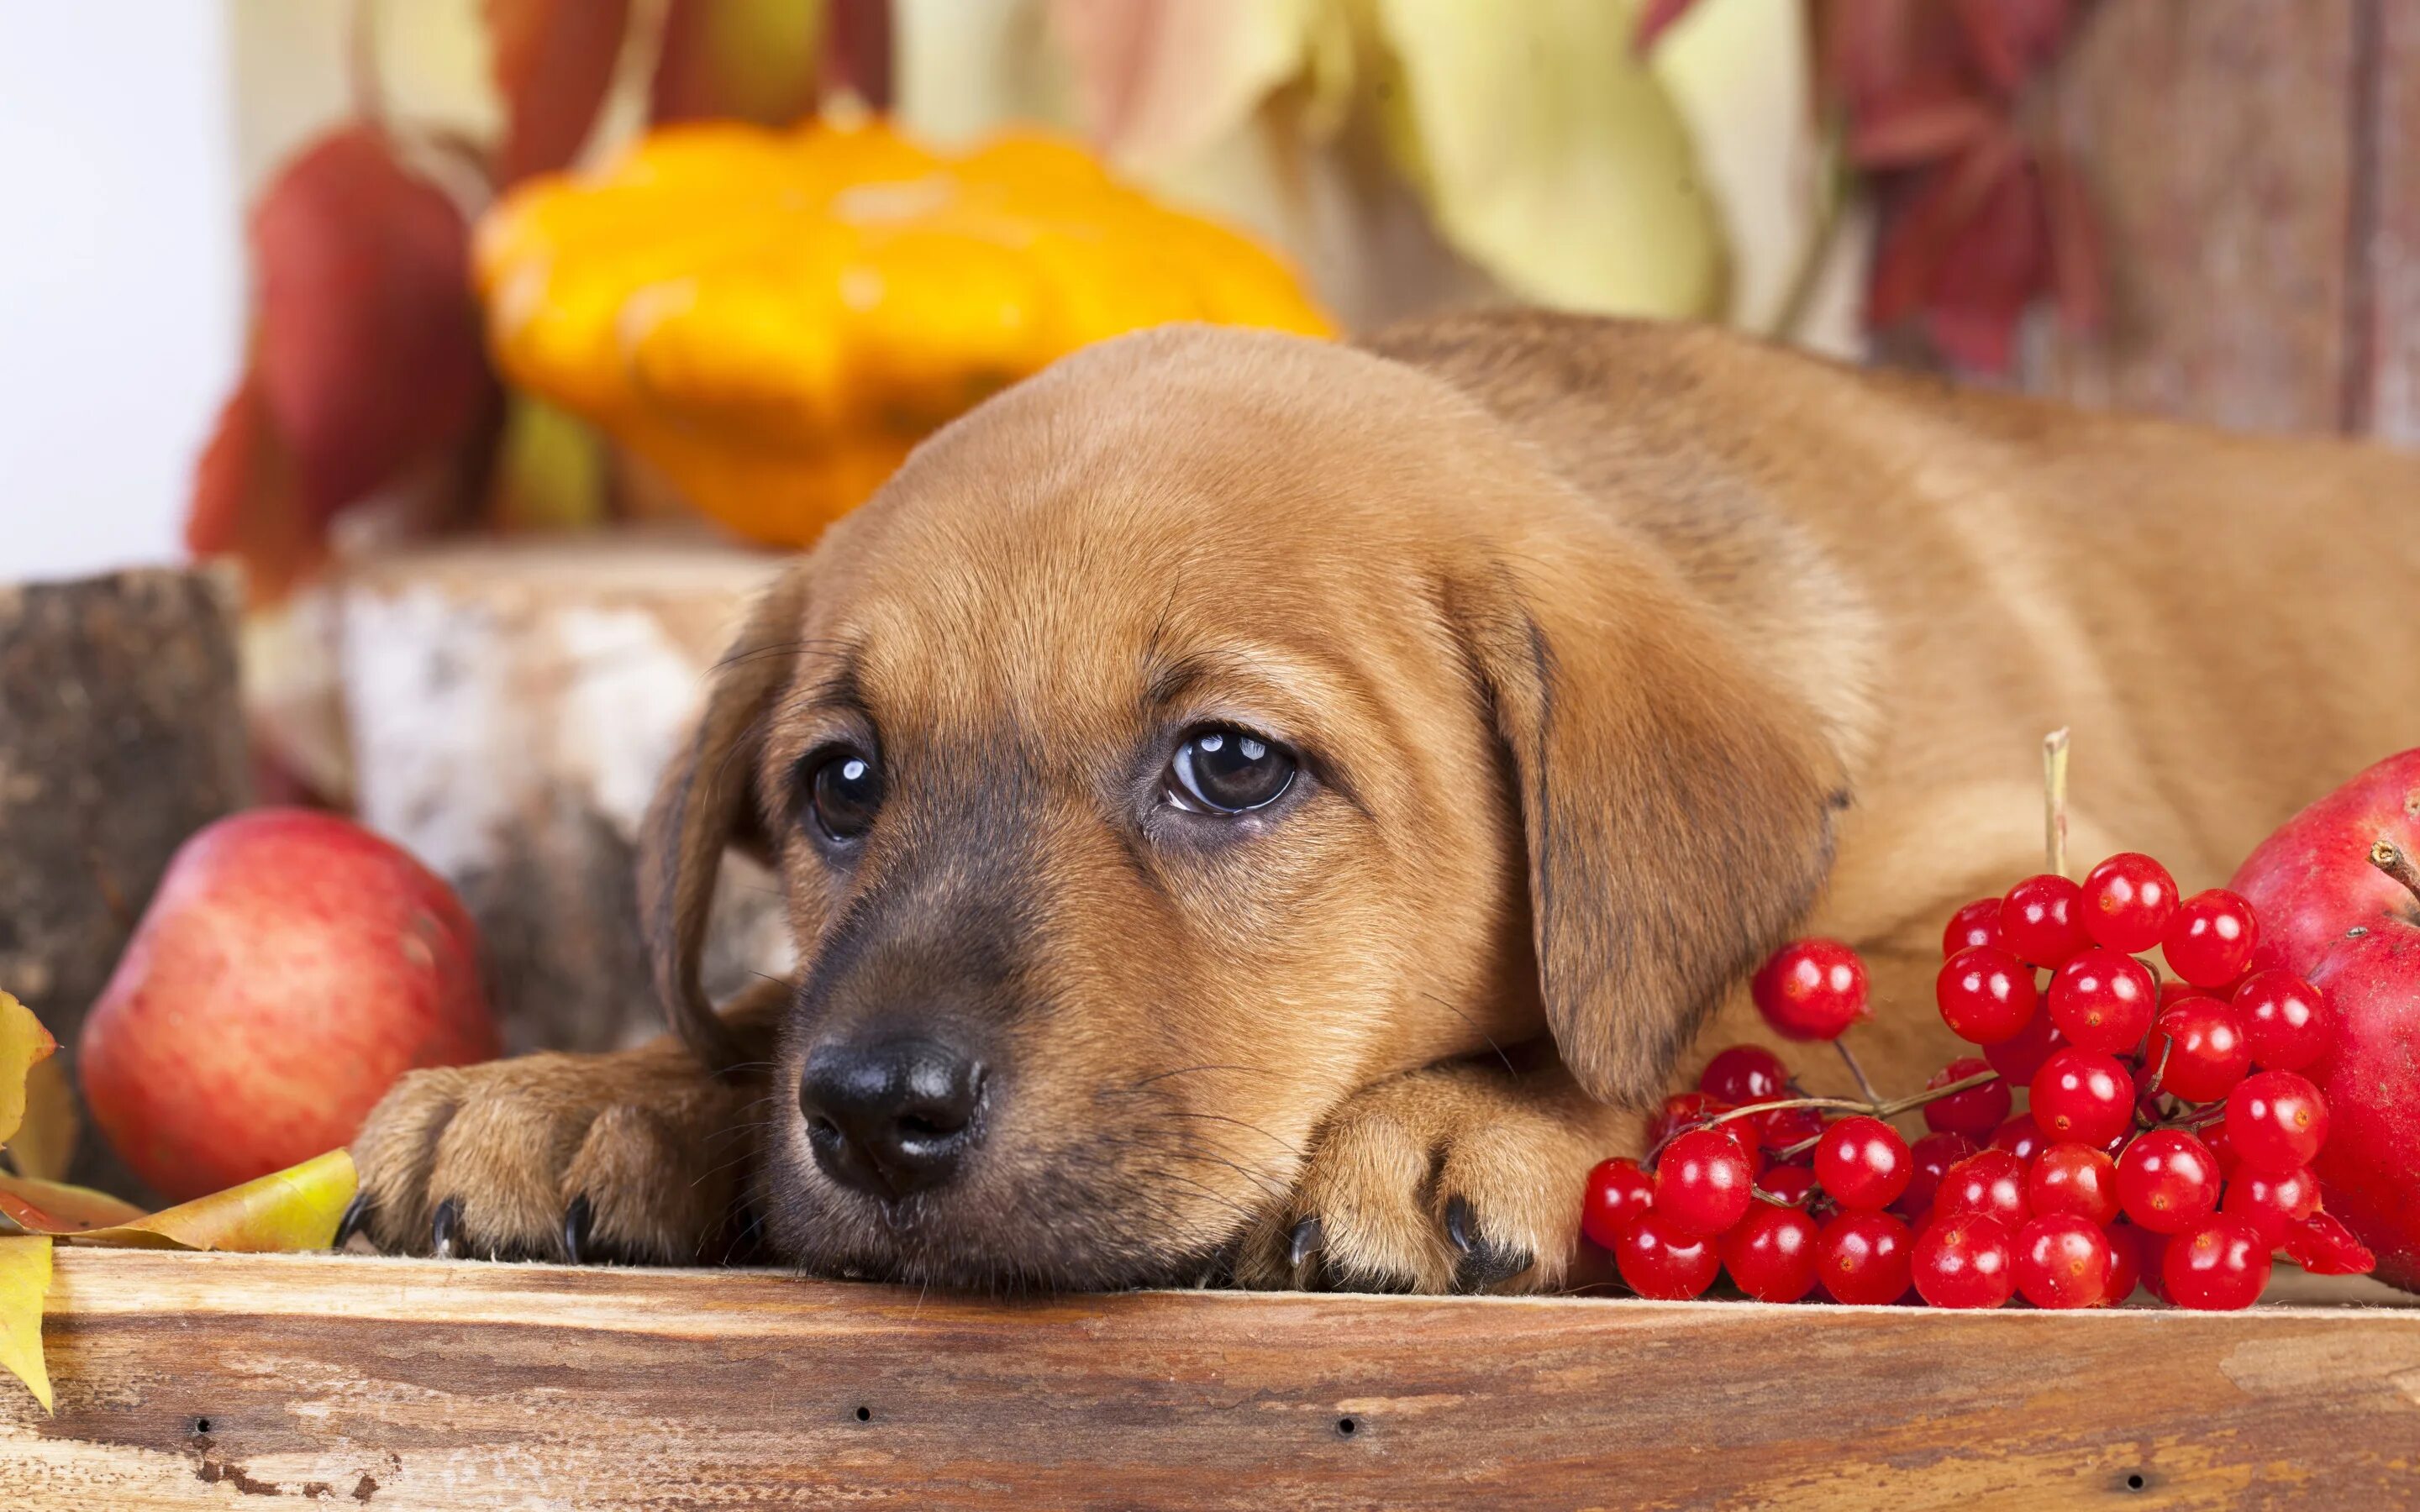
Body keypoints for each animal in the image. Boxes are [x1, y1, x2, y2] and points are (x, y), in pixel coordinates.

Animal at [350, 312, 2420, 1287]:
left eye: (1230, 766)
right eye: (840, 785)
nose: (870, 1116)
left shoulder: (2044, 901)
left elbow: (1750, 999)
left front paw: (1474, 1120)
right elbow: (767, 1004)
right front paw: (598, 1091)